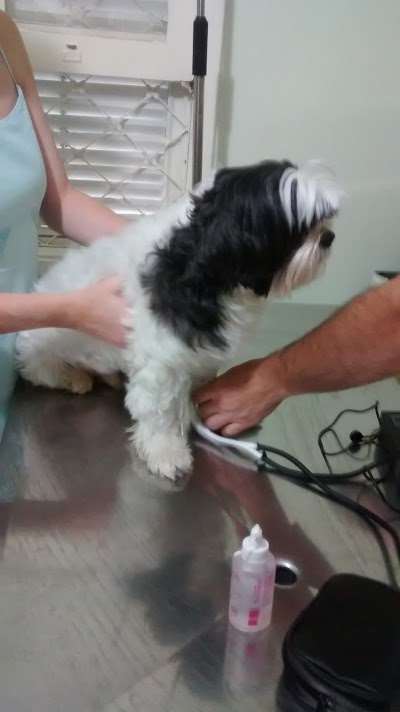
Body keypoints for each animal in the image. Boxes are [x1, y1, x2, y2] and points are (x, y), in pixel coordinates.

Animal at [17, 159, 342, 481]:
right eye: (297, 229)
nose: (328, 237)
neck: (197, 262)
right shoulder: (160, 358)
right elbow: (159, 410)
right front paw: (165, 451)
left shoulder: (195, 355)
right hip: (41, 346)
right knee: (41, 371)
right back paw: (74, 377)